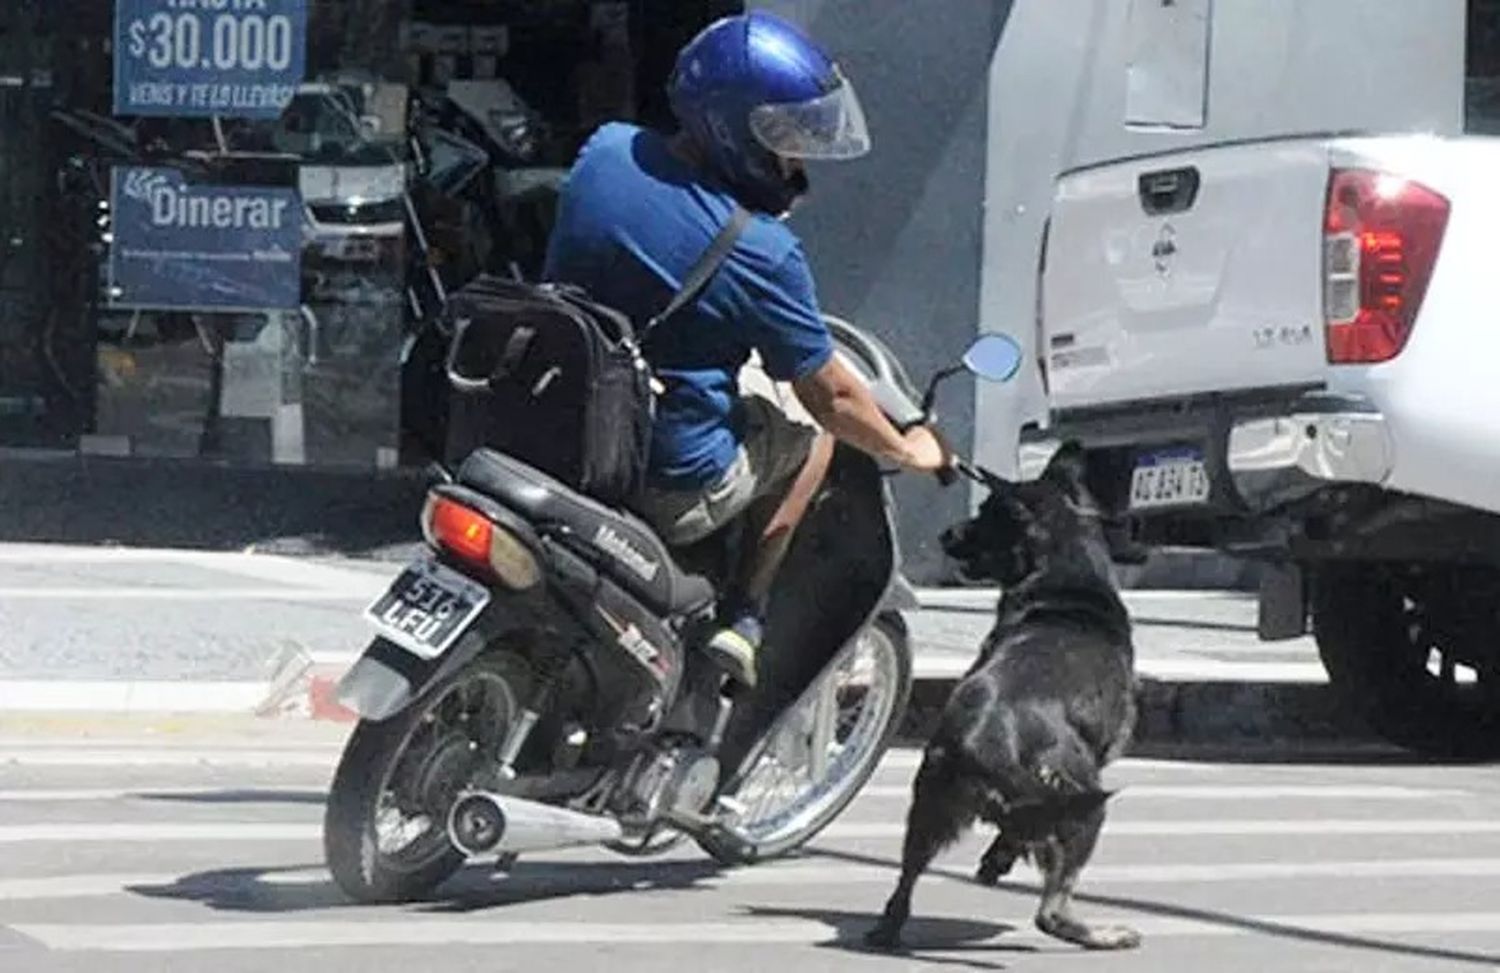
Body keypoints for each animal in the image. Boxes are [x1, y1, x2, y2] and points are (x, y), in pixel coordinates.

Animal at [870, 443, 1134, 953]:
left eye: (985, 516)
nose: (946, 533)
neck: (1064, 570)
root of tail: (983, 739)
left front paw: (996, 859)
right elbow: (1021, 835)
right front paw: (1000, 858)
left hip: (928, 811)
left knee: (903, 888)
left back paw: (886, 932)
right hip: (1085, 805)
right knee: (1051, 909)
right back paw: (1103, 935)